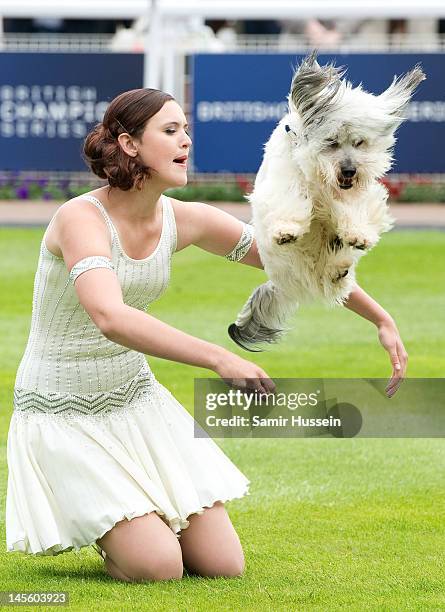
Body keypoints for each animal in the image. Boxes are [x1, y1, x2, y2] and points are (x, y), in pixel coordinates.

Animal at [229, 52, 424, 352]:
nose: (349, 170)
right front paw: (286, 229)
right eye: (332, 142)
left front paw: (357, 233)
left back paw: (338, 267)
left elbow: (356, 209)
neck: (321, 178)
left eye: (359, 142)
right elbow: (288, 199)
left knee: (337, 260)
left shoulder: (358, 195)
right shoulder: (284, 180)